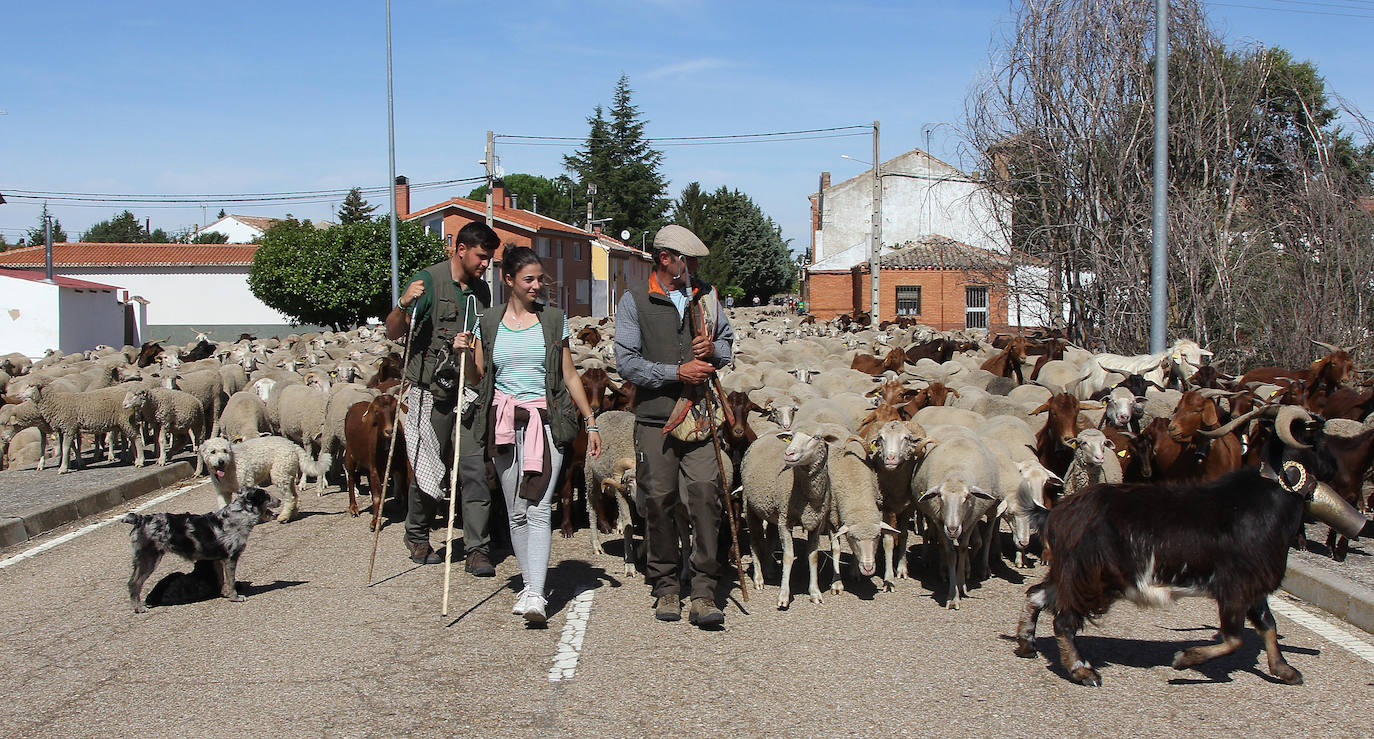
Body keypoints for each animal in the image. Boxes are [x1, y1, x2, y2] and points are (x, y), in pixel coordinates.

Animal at [123, 483, 281, 609]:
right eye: (267, 496)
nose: (279, 500)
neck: (240, 515)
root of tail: (140, 519)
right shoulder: (230, 558)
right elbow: (231, 580)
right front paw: (235, 597)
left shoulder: (217, 559)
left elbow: (221, 578)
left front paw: (225, 593)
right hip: (149, 559)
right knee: (134, 583)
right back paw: (138, 607)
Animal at [1016, 403, 1368, 684]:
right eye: (1316, 438)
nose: (1334, 467)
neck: (1269, 497)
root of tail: (1056, 514)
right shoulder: (1235, 586)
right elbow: (1235, 639)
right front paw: (1185, 659)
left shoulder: (1254, 586)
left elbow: (1267, 625)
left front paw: (1284, 670)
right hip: (1090, 576)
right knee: (1063, 619)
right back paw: (1082, 670)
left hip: (1072, 573)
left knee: (1036, 594)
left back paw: (1026, 644)